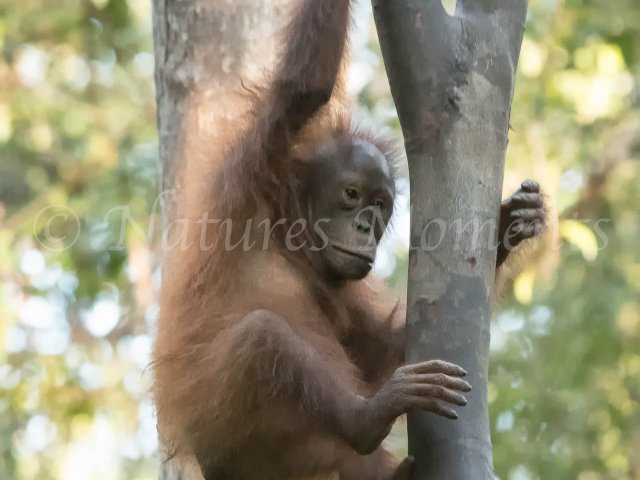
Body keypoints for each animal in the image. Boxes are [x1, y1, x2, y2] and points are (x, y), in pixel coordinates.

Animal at [152, 0, 546, 479]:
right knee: (261, 335)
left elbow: (376, 349)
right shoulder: (251, 167)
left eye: (379, 204)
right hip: (225, 435)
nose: (365, 226)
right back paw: (368, 418)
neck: (287, 234)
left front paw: (512, 224)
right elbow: (305, 89)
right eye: (351, 194)